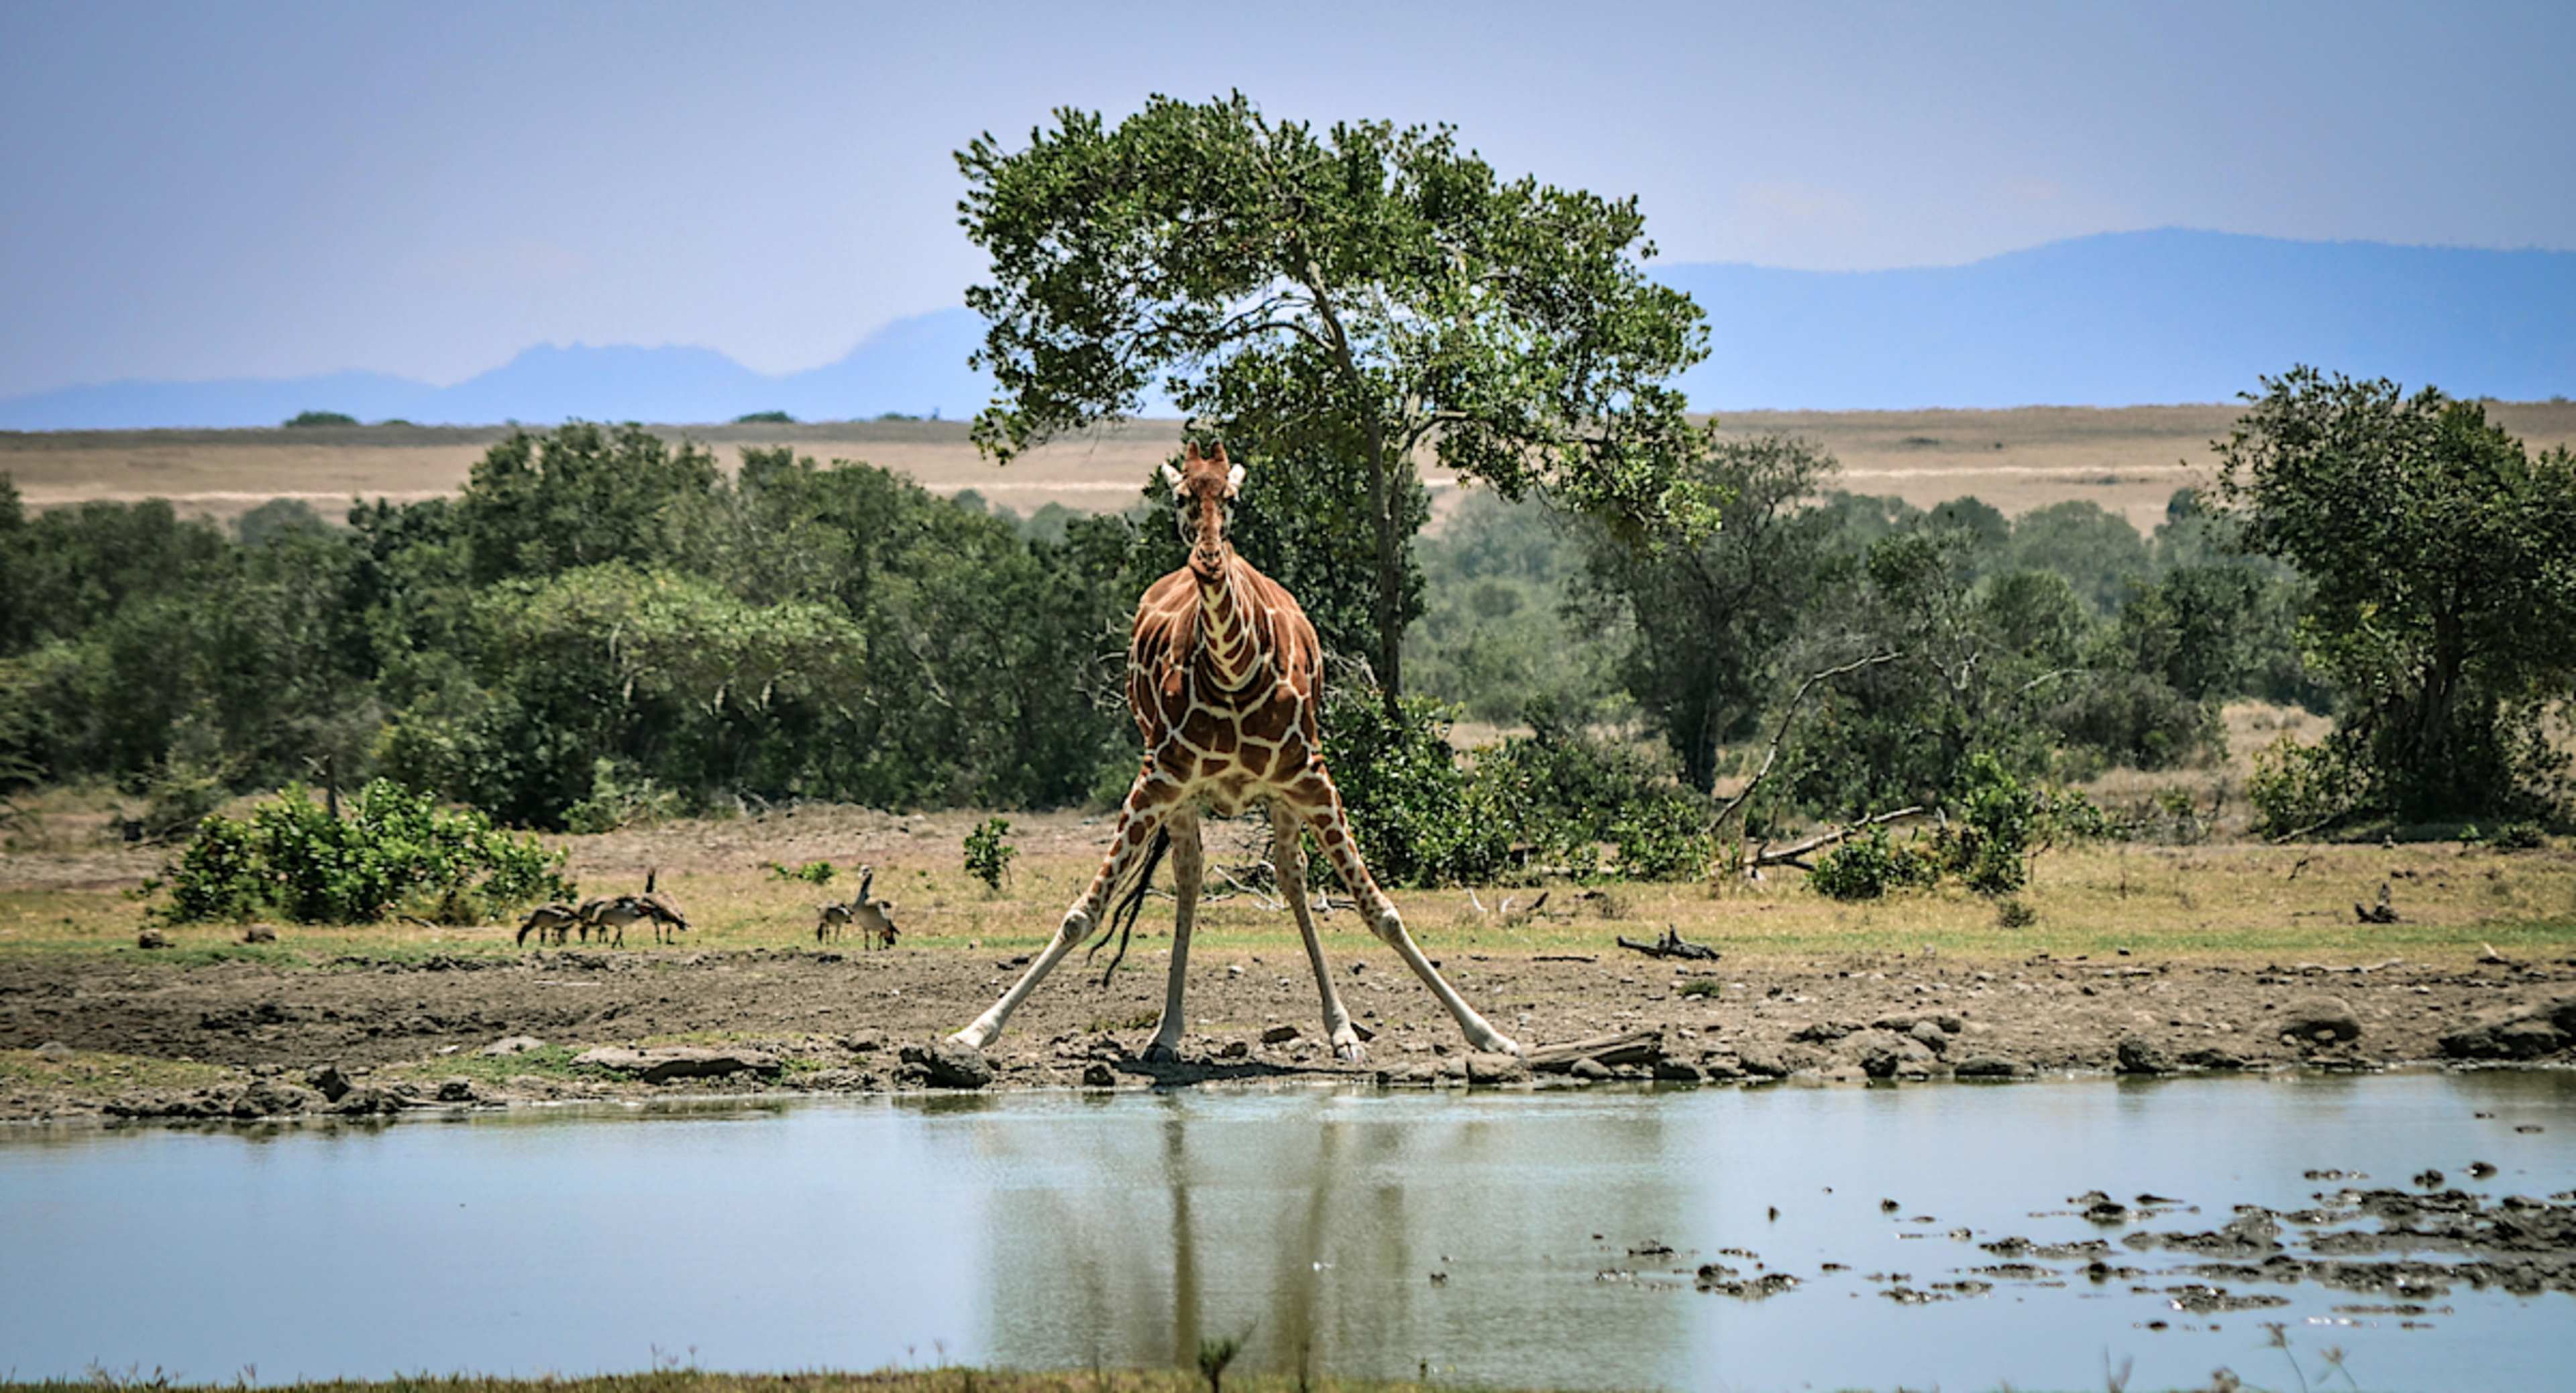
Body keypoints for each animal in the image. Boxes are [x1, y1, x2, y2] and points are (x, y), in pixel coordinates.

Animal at [949, 442, 1520, 1062]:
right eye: (1180, 496)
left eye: (1233, 498)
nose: (1207, 559)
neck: (1234, 667)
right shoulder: (1158, 775)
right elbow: (1083, 914)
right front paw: (975, 1029)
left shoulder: (1310, 776)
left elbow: (1381, 912)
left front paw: (1490, 1033)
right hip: (1181, 793)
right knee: (1191, 873)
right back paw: (1167, 1031)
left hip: (1280, 796)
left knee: (1290, 875)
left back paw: (1340, 1029)